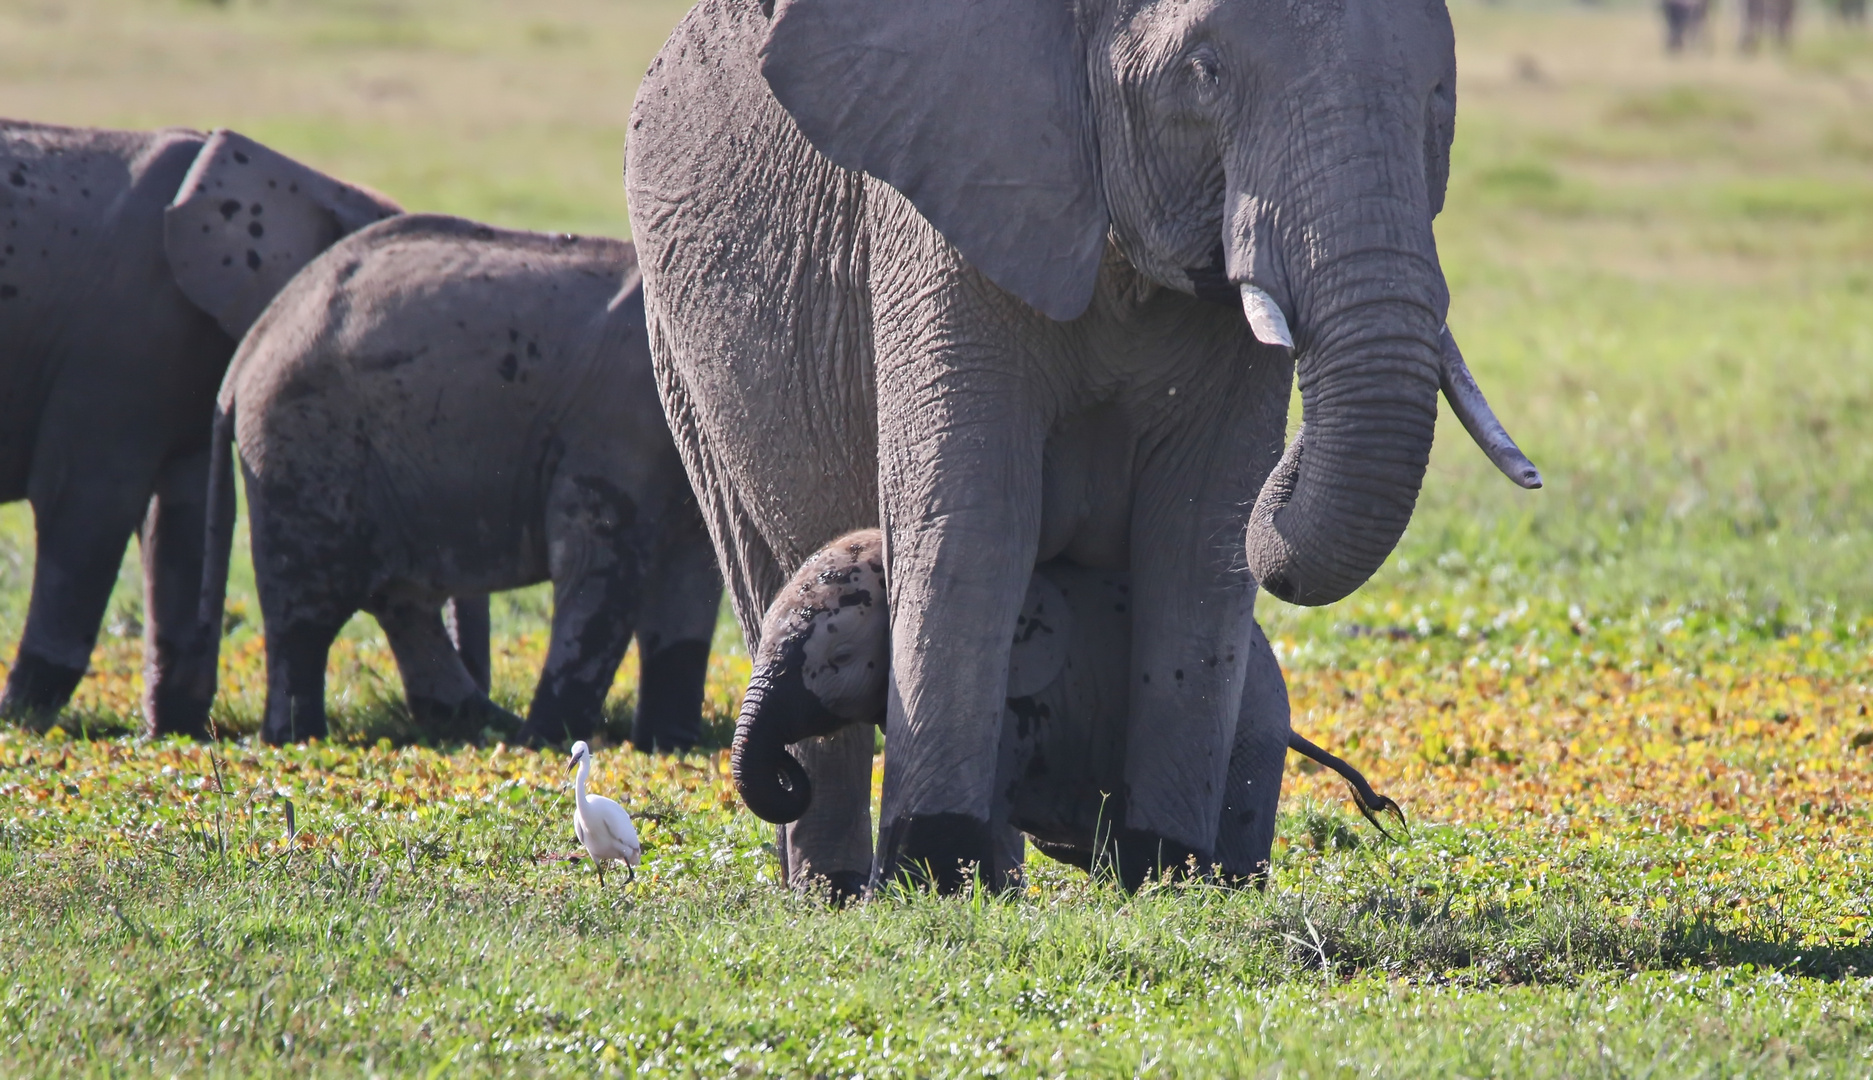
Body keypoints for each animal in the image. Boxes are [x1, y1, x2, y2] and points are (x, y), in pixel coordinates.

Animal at [201, 213, 719, 744]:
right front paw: (547, 744)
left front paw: (668, 745)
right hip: (305, 443)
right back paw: (298, 738)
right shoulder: (613, 426)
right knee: (308, 608)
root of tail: (248, 354)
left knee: (397, 599)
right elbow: (596, 562)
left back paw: (480, 724)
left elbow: (690, 581)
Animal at [629, 0, 1535, 887]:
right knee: (761, 568)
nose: (1530, 474)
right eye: (1203, 73)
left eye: (1439, 98)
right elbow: (974, 519)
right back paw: (838, 891)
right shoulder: (942, 211)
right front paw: (939, 873)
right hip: (681, 352)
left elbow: (1201, 529)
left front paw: (1165, 871)